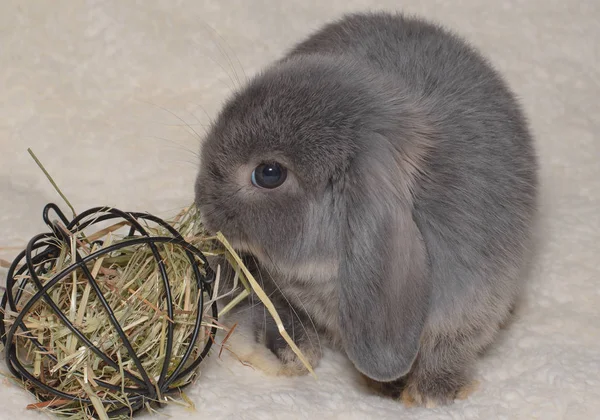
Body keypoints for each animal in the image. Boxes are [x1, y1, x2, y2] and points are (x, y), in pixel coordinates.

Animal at [193, 11, 540, 406]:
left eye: (269, 173)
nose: (201, 200)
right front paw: (290, 350)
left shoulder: (472, 308)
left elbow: (449, 350)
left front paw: (432, 394)